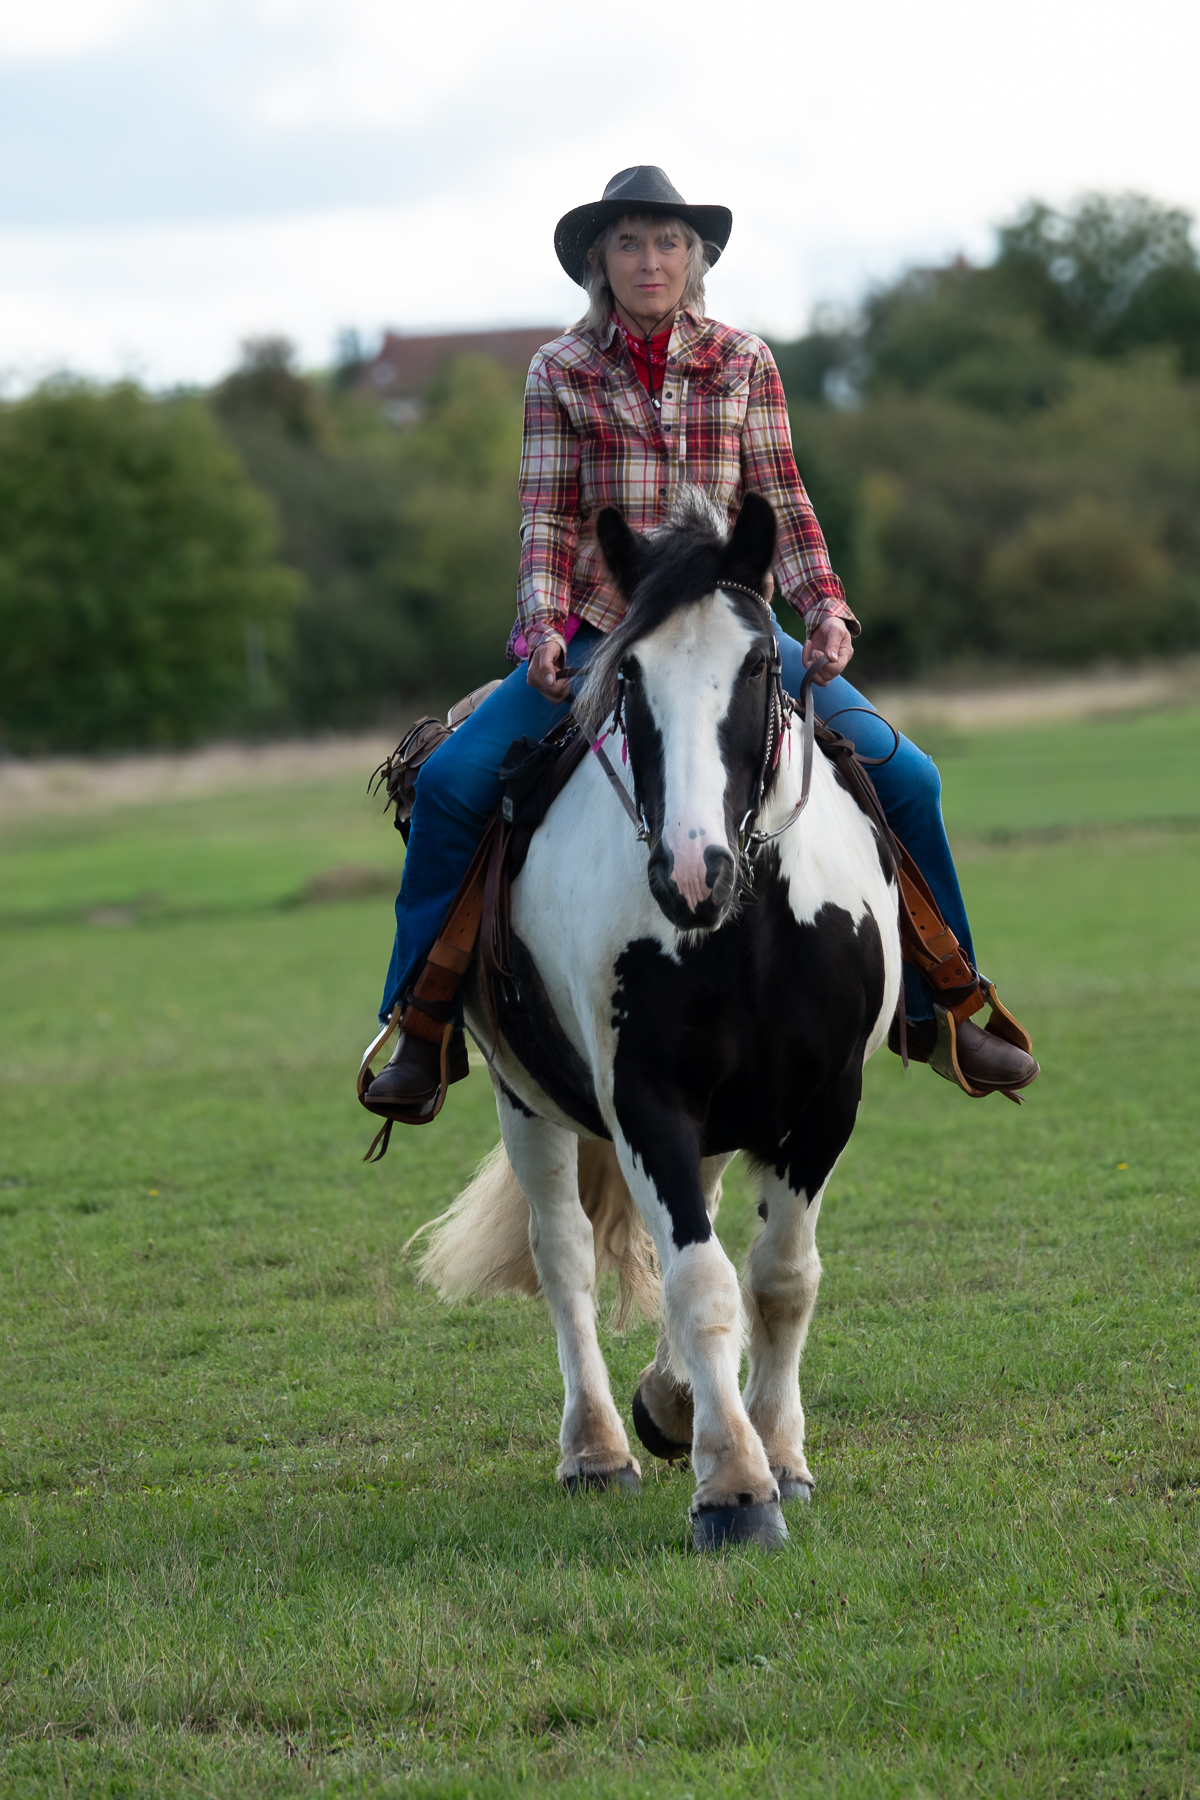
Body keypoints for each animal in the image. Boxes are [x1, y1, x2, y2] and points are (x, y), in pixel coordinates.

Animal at [415, 489, 902, 1550]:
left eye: (759, 663)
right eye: (628, 673)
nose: (690, 870)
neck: (746, 921)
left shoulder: (826, 1102)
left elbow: (780, 1278)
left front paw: (779, 1455)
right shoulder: (642, 1099)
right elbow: (698, 1281)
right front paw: (736, 1490)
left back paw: (673, 1404)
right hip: (527, 1099)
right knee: (565, 1259)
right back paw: (598, 1449)